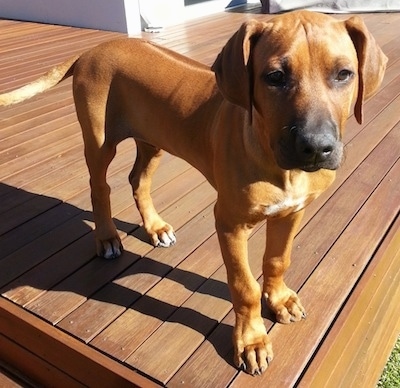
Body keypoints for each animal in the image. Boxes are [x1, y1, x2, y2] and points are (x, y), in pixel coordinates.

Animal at [0, 11, 388, 376]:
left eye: (344, 74)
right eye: (275, 77)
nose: (316, 148)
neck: (278, 162)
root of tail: (91, 50)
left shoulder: (292, 212)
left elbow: (278, 260)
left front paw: (278, 299)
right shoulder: (229, 223)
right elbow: (243, 286)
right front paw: (251, 340)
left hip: (153, 139)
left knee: (137, 180)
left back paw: (156, 227)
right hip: (99, 140)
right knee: (100, 187)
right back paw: (108, 237)